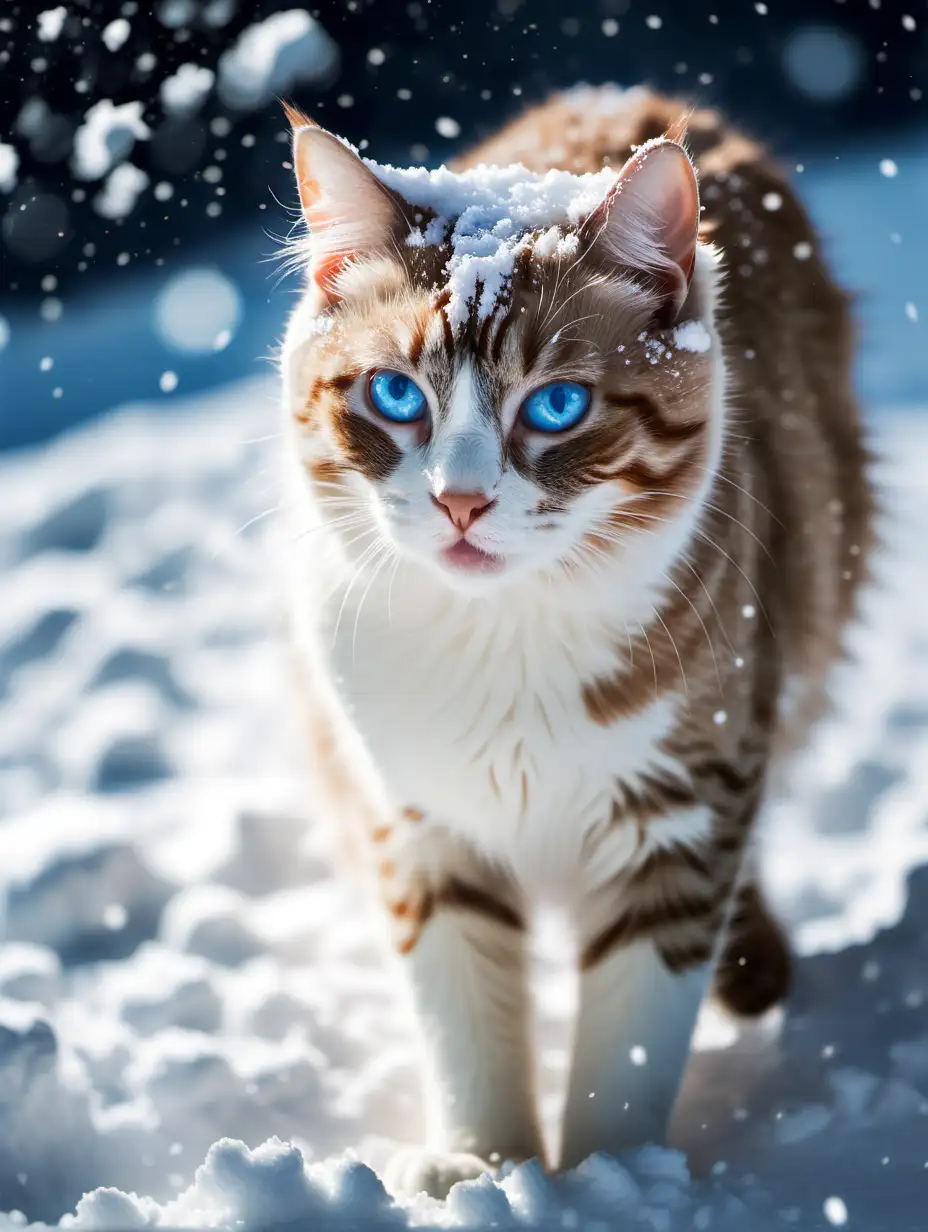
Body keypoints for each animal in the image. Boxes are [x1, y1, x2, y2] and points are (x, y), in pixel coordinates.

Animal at [278, 84, 872, 1192]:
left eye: (556, 405)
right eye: (394, 394)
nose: (461, 501)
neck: (504, 640)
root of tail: (625, 94)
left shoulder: (684, 805)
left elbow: (630, 1039)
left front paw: (610, 1184)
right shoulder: (416, 813)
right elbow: (464, 1015)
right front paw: (486, 1173)